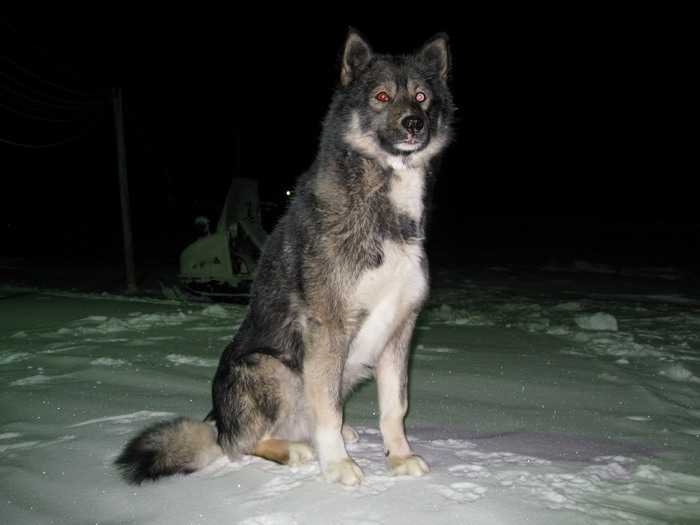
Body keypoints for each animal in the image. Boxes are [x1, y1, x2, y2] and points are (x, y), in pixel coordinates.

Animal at [116, 27, 454, 488]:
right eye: (382, 96)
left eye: (421, 97)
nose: (414, 123)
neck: (381, 207)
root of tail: (216, 421)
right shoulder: (328, 328)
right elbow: (326, 410)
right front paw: (337, 465)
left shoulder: (400, 329)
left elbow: (394, 408)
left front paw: (399, 457)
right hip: (271, 366)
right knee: (240, 443)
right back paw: (294, 449)